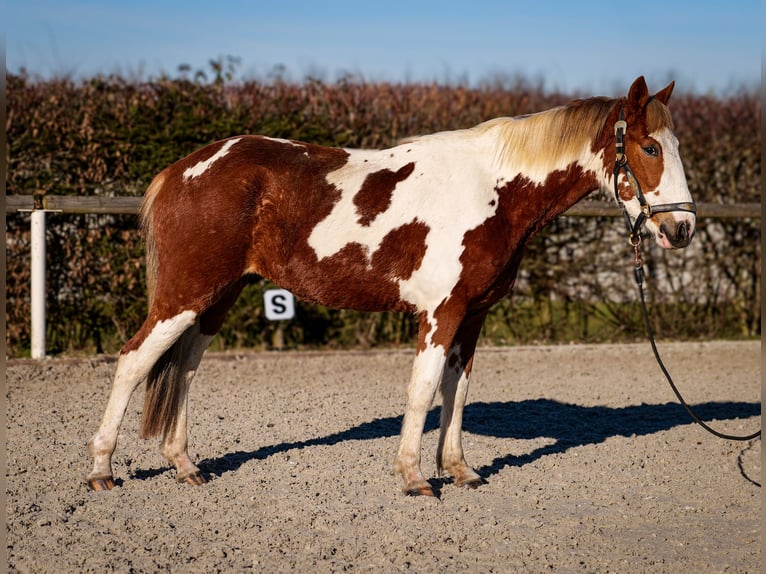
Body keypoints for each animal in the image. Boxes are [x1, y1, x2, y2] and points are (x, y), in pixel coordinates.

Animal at [87, 76, 700, 500]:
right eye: (650, 148)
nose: (681, 229)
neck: (494, 189)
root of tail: (183, 169)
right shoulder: (440, 314)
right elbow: (422, 390)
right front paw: (413, 477)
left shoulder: (473, 317)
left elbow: (457, 393)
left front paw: (459, 471)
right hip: (184, 296)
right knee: (134, 361)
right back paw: (101, 470)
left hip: (217, 299)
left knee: (185, 368)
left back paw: (185, 466)